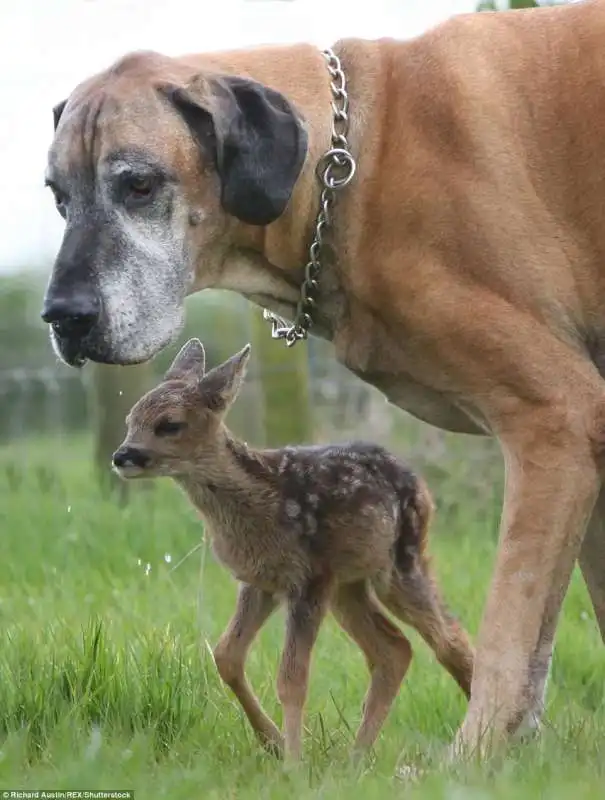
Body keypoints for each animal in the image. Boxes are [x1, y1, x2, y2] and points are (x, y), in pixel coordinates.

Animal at [112, 340, 472, 764]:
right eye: (130, 418)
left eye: (169, 424)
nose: (122, 455)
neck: (259, 504)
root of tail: (421, 485)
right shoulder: (260, 581)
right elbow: (226, 656)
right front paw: (273, 742)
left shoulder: (308, 577)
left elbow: (292, 679)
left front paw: (294, 763)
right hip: (347, 585)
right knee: (395, 649)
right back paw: (356, 758)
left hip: (401, 561)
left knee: (449, 640)